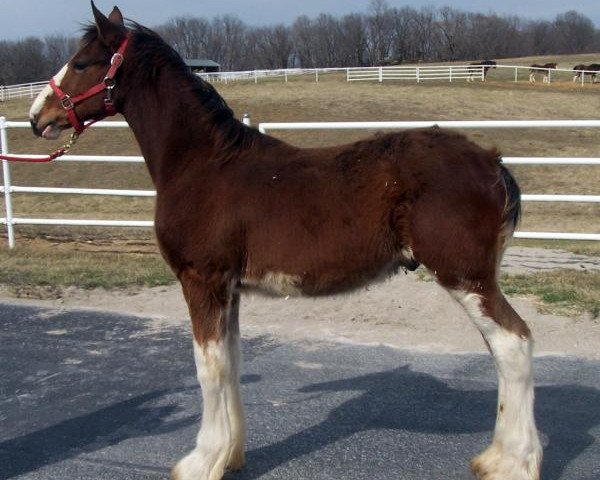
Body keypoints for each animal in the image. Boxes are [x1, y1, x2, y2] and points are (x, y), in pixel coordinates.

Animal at [29, 3, 544, 480]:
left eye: (82, 62)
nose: (38, 116)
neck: (204, 165)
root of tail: (493, 163)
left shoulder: (202, 281)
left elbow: (207, 367)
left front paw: (201, 461)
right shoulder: (229, 289)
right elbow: (231, 361)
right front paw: (230, 455)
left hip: (465, 276)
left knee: (513, 344)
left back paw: (511, 462)